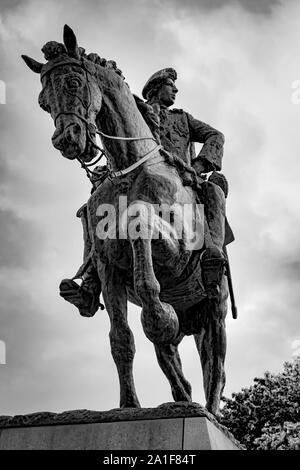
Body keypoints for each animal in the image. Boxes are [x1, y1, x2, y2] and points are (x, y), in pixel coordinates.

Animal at [22, 25, 229, 414]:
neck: (129, 170)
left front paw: (159, 317)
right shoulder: (108, 270)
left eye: (73, 82)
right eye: (42, 101)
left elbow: (142, 225)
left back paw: (210, 411)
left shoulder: (176, 251)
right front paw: (129, 405)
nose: (66, 140)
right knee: (174, 365)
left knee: (216, 364)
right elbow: (122, 339)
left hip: (216, 309)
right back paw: (183, 398)